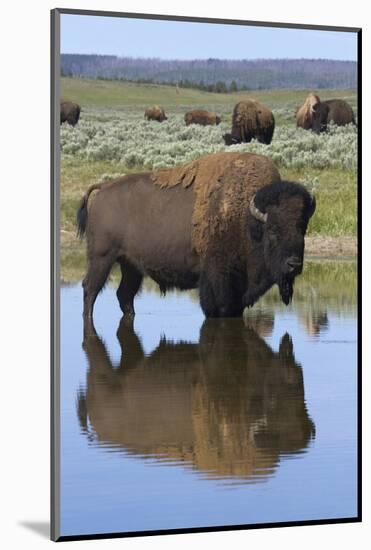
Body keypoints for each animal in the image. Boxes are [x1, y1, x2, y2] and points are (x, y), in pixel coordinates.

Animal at [77, 151, 316, 332]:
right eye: (273, 230)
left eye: (302, 229)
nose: (294, 264)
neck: (247, 220)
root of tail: (103, 188)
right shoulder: (218, 282)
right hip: (102, 258)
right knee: (90, 289)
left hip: (131, 266)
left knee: (124, 295)